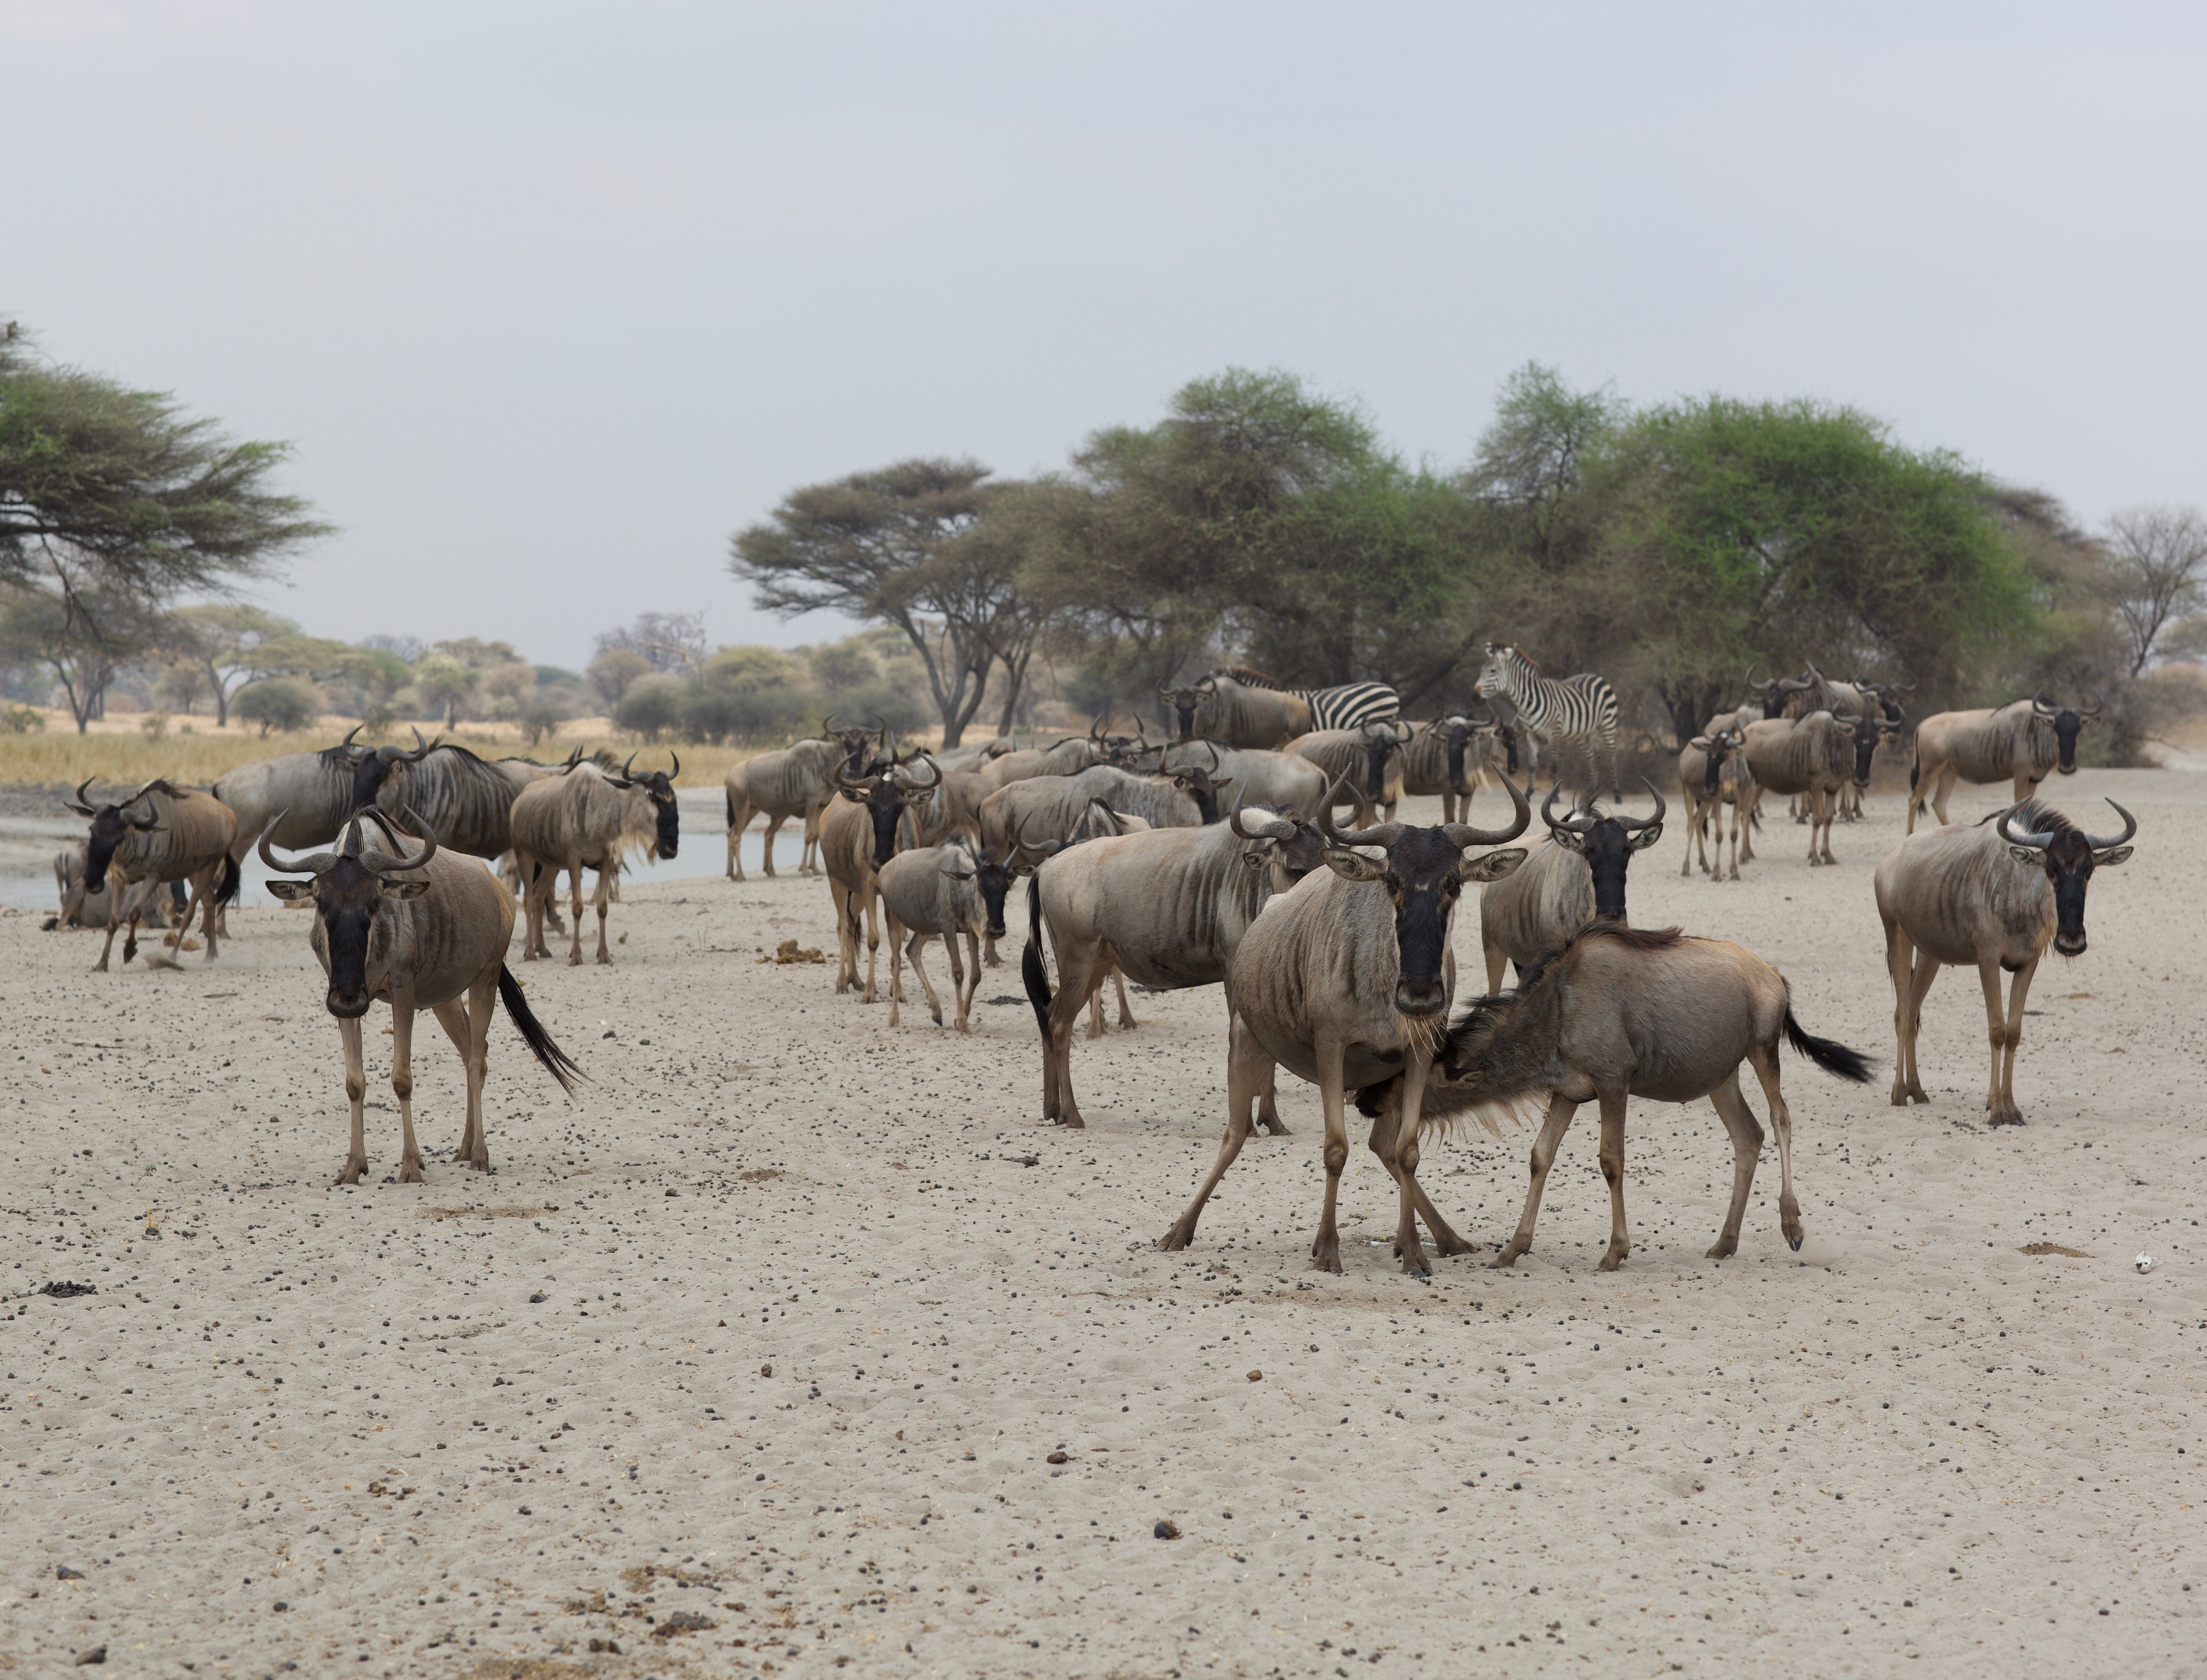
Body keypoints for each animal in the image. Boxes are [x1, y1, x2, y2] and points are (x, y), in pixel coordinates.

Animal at [1474, 640, 1615, 799]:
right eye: (1482, 670)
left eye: (1493, 671)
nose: (1475, 696)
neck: (1527, 702)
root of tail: (1596, 676)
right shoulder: (1530, 734)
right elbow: (1532, 763)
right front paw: (1529, 792)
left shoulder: (1554, 732)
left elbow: (1554, 764)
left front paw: (1556, 795)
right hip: (1584, 733)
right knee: (1594, 758)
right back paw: (1592, 791)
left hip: (1608, 723)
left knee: (1611, 758)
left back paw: (1617, 795)